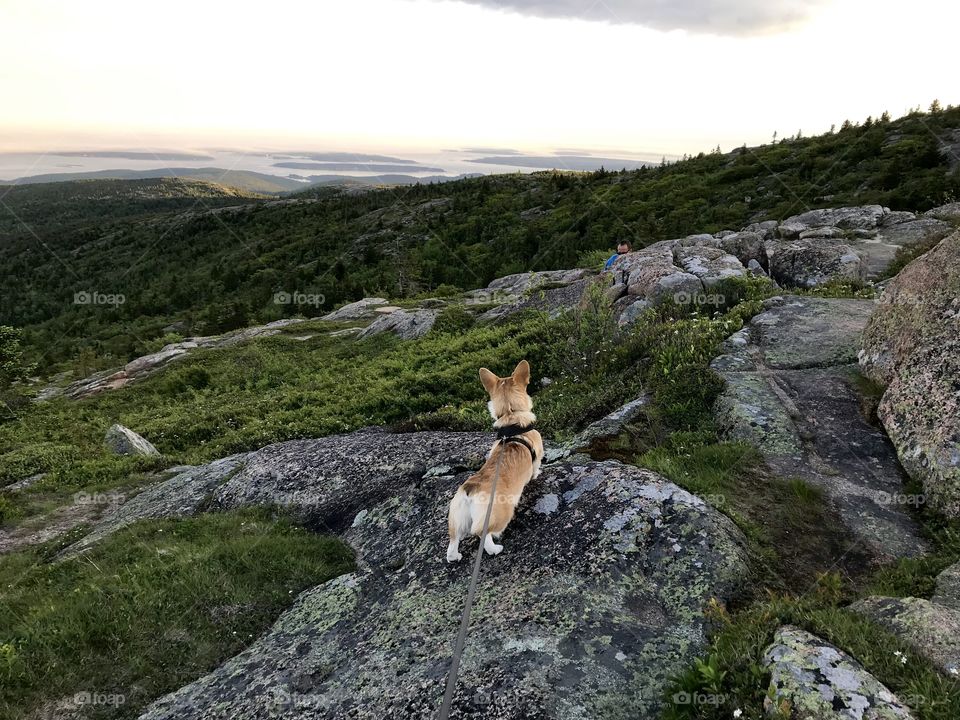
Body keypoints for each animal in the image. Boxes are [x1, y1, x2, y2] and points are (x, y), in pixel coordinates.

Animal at [446, 360, 544, 564]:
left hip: (456, 519)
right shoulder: (538, 454)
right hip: (500, 514)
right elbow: (536, 468)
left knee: (453, 542)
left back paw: (455, 556)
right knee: (482, 533)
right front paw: (538, 474)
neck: (511, 415)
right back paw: (495, 549)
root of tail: (470, 491)